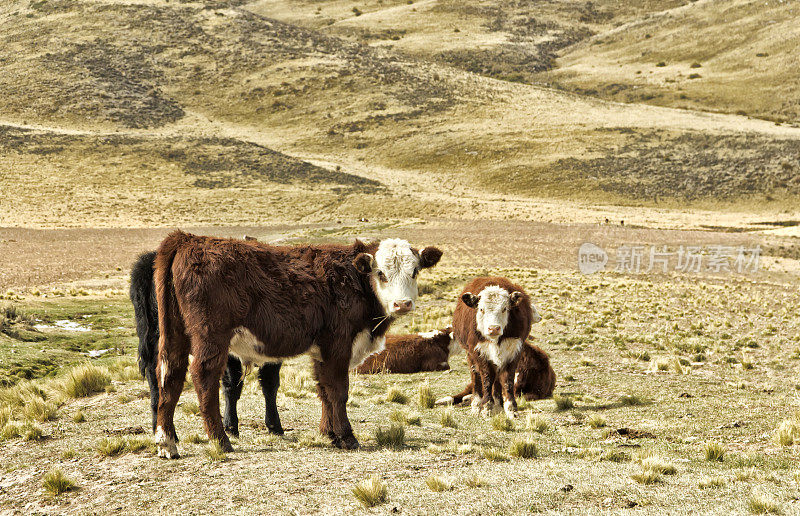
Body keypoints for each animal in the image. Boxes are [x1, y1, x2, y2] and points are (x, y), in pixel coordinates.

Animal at [152, 232, 440, 458]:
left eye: (415, 271)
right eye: (381, 273)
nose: (402, 304)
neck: (352, 279)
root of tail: (188, 240)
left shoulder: (322, 350)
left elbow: (324, 390)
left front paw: (329, 433)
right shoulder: (338, 345)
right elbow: (338, 390)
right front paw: (346, 436)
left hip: (175, 334)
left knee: (170, 376)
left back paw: (167, 442)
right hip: (211, 337)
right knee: (203, 379)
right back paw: (220, 440)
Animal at [434, 276, 540, 418]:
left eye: (504, 309)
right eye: (481, 309)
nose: (493, 328)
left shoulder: (514, 351)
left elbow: (507, 380)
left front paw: (511, 409)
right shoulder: (479, 352)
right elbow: (486, 378)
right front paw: (487, 407)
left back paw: (498, 405)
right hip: (470, 356)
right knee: (476, 376)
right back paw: (476, 405)